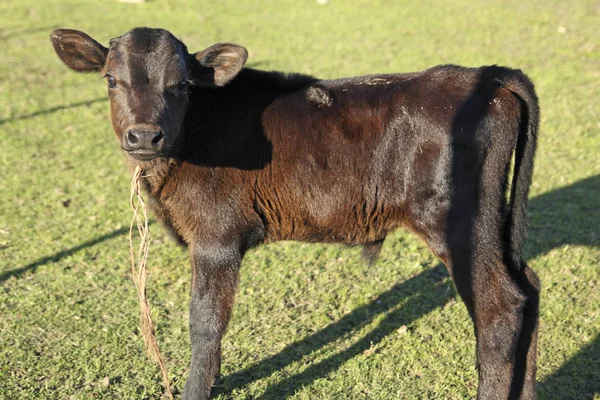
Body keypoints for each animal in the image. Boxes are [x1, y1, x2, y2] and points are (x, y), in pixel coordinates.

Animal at [50, 28, 540, 400]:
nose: (144, 136)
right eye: (110, 80)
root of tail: (485, 77)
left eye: (182, 84)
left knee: (501, 306)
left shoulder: (216, 239)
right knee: (528, 286)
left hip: (458, 225)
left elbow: (205, 323)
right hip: (494, 225)